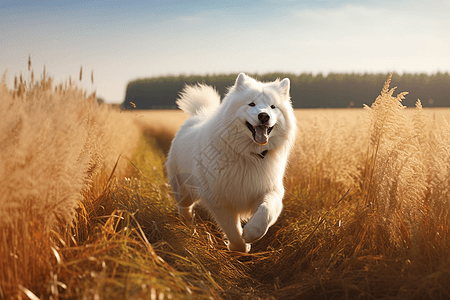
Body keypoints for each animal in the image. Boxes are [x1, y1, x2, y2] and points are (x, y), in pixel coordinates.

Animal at [165, 73, 296, 253]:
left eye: (273, 107)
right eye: (251, 104)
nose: (264, 116)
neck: (249, 155)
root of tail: (198, 114)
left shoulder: (270, 189)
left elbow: (265, 212)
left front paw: (251, 232)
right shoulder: (220, 201)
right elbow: (232, 230)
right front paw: (240, 246)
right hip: (184, 191)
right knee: (184, 207)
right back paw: (187, 225)